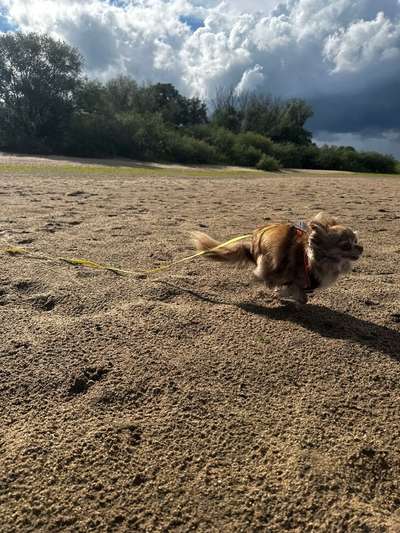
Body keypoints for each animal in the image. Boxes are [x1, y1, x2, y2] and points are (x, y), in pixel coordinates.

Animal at [192, 211, 364, 306]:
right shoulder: (291, 278)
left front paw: (284, 294)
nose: (361, 248)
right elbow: (298, 295)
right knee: (265, 275)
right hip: (270, 260)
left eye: (356, 240)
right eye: (346, 246)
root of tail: (252, 244)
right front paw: (282, 294)